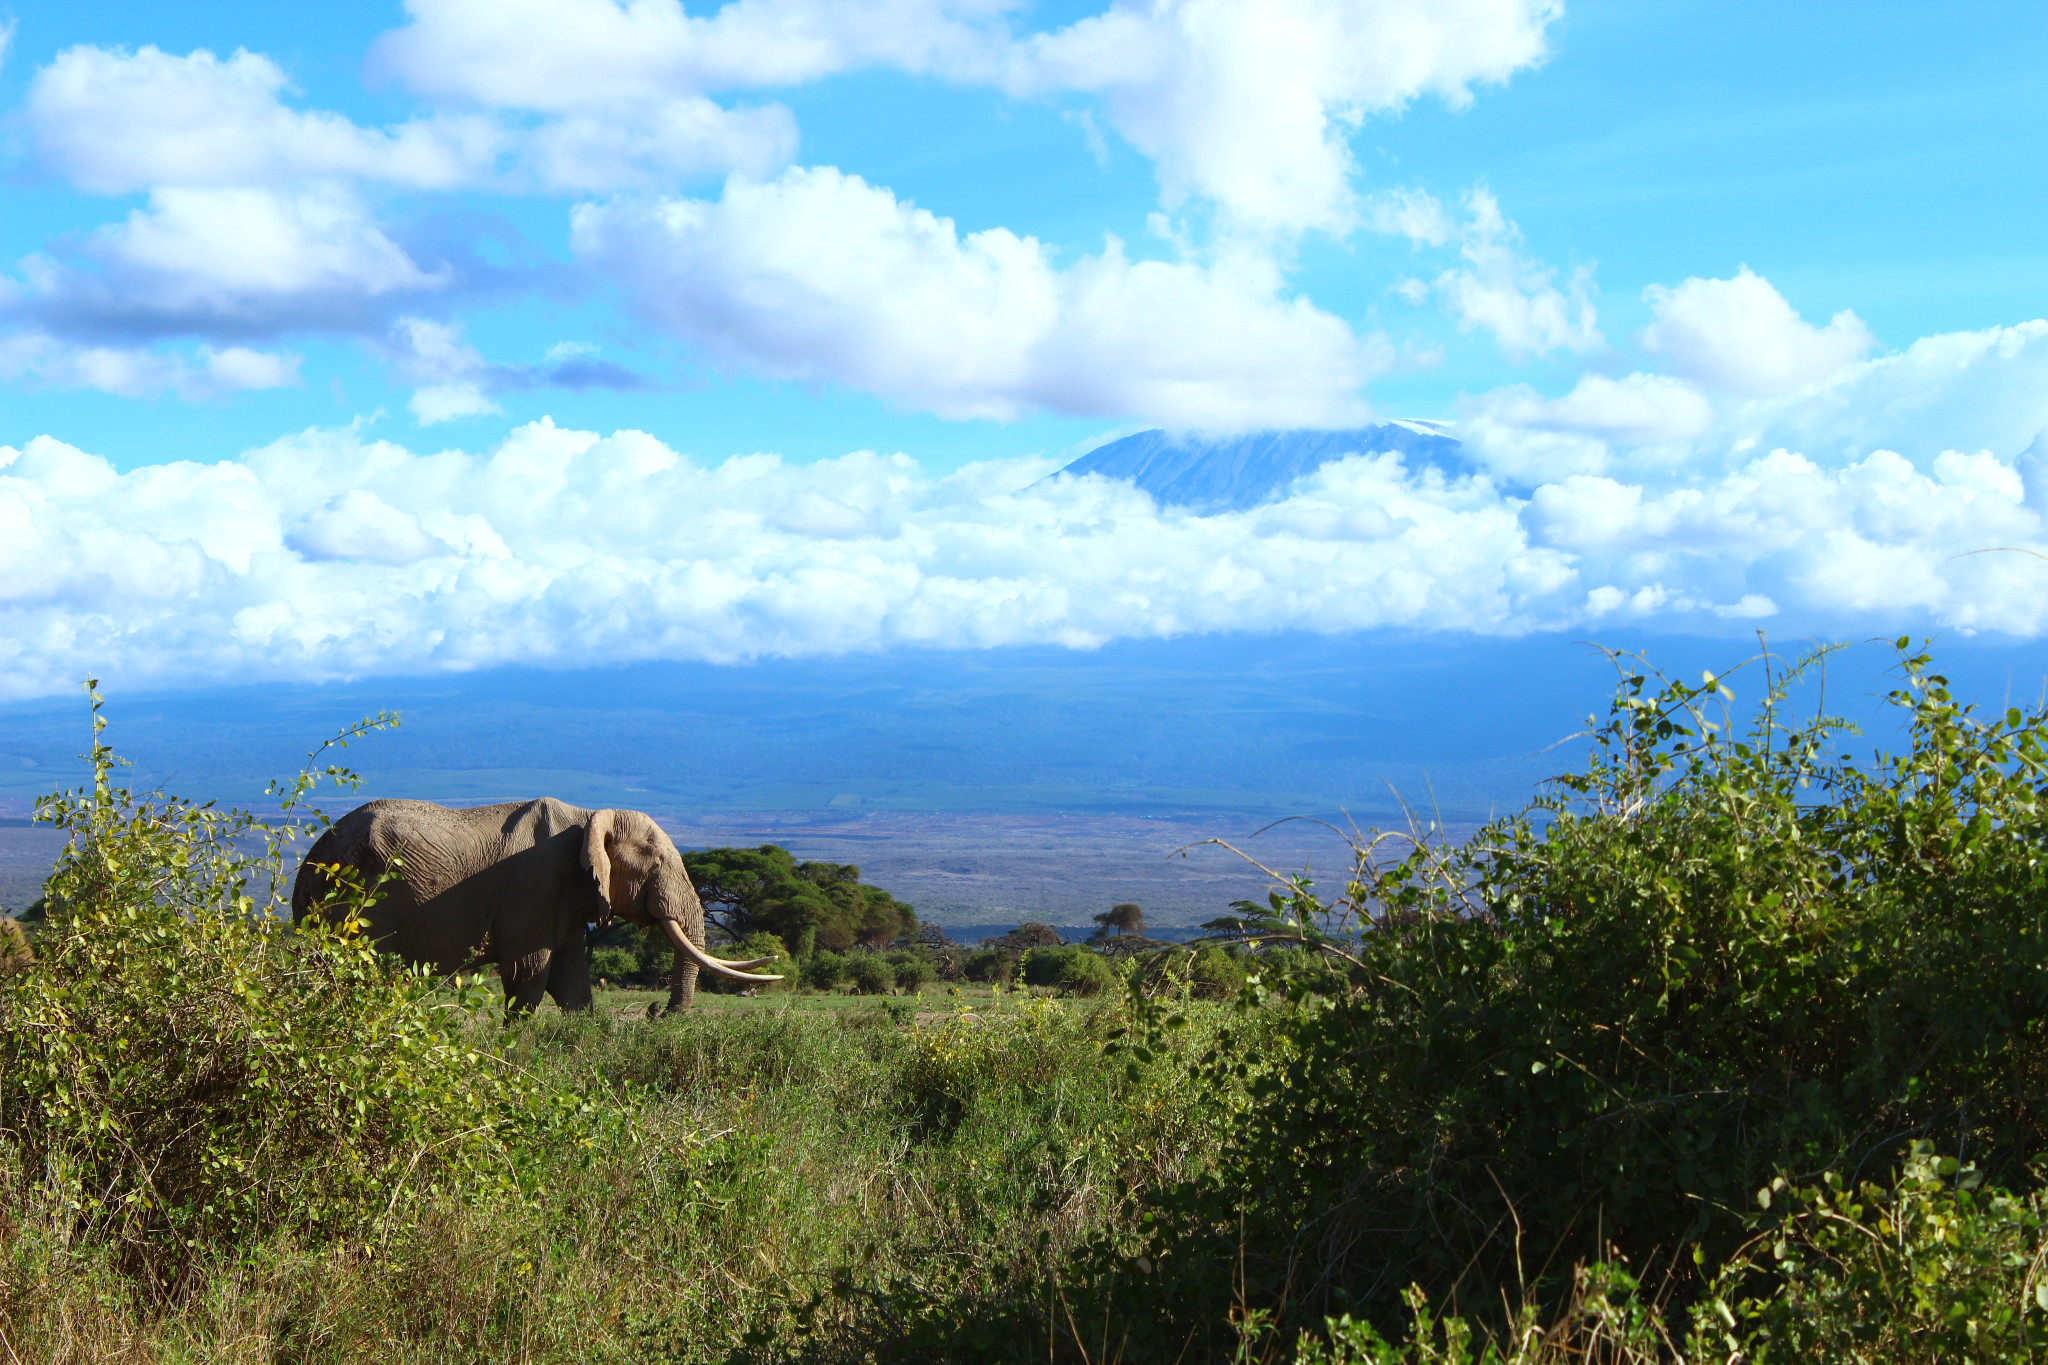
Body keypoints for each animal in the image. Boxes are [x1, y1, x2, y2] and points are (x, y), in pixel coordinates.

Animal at [284, 794, 770, 1010]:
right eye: (658, 862)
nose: (654, 1012)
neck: (589, 817)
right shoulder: (533, 889)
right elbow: (529, 974)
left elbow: (572, 983)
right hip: (355, 902)